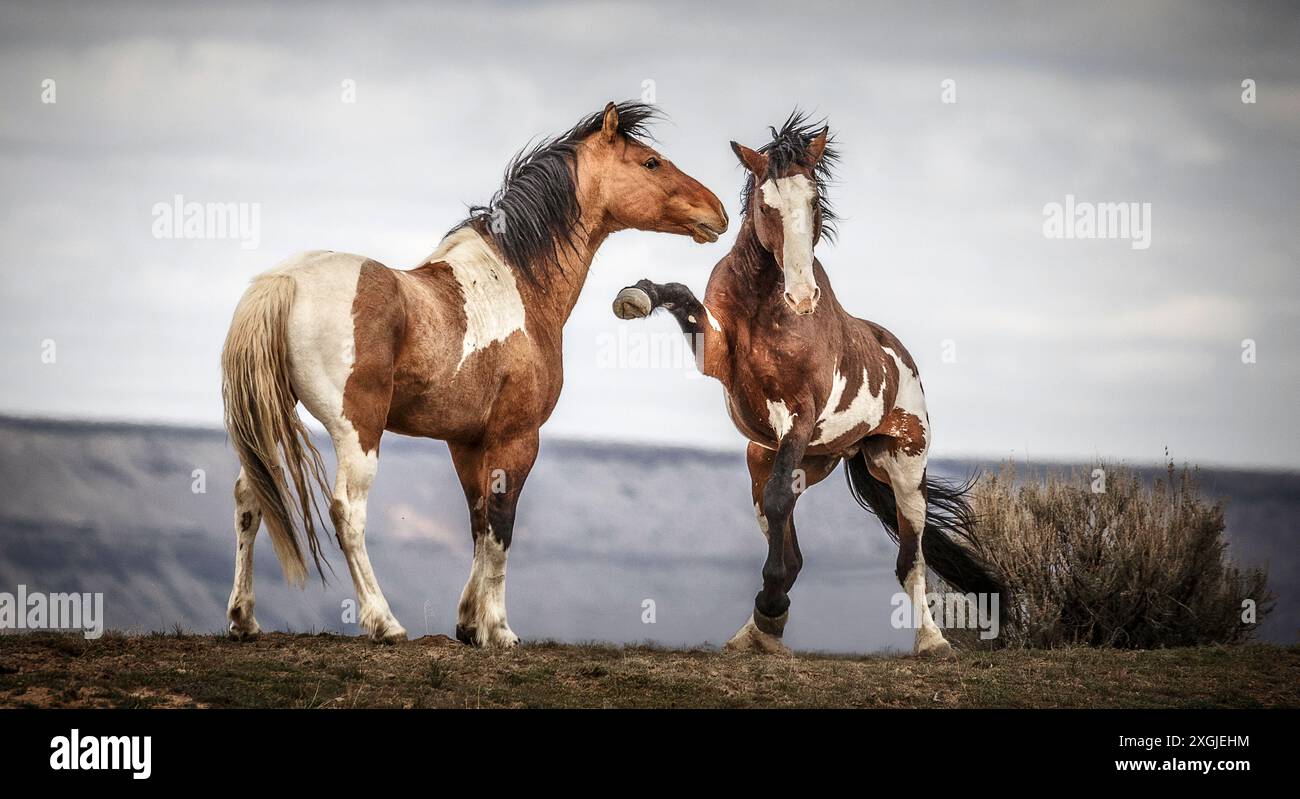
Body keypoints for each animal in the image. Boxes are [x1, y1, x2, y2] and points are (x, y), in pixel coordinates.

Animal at [224, 103, 733, 646]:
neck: (517, 282)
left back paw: (243, 619)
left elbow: (478, 521)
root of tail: (282, 282)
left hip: (268, 419)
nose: (717, 212)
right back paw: (384, 622)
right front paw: (499, 629)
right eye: (651, 162)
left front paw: (469, 623)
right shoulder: (517, 437)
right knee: (347, 511)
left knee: (250, 499)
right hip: (356, 431)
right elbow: (501, 529)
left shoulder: (466, 441)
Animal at [611, 112, 1003, 657]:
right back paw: (756, 632)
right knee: (792, 544)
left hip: (902, 468)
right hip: (781, 459)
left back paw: (931, 642)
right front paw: (635, 296)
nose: (801, 296)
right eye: (764, 204)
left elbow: (783, 506)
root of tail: (900, 356)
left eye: (814, 200)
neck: (762, 303)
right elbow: (680, 296)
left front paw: (771, 606)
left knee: (911, 561)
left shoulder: (799, 412)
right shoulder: (717, 358)